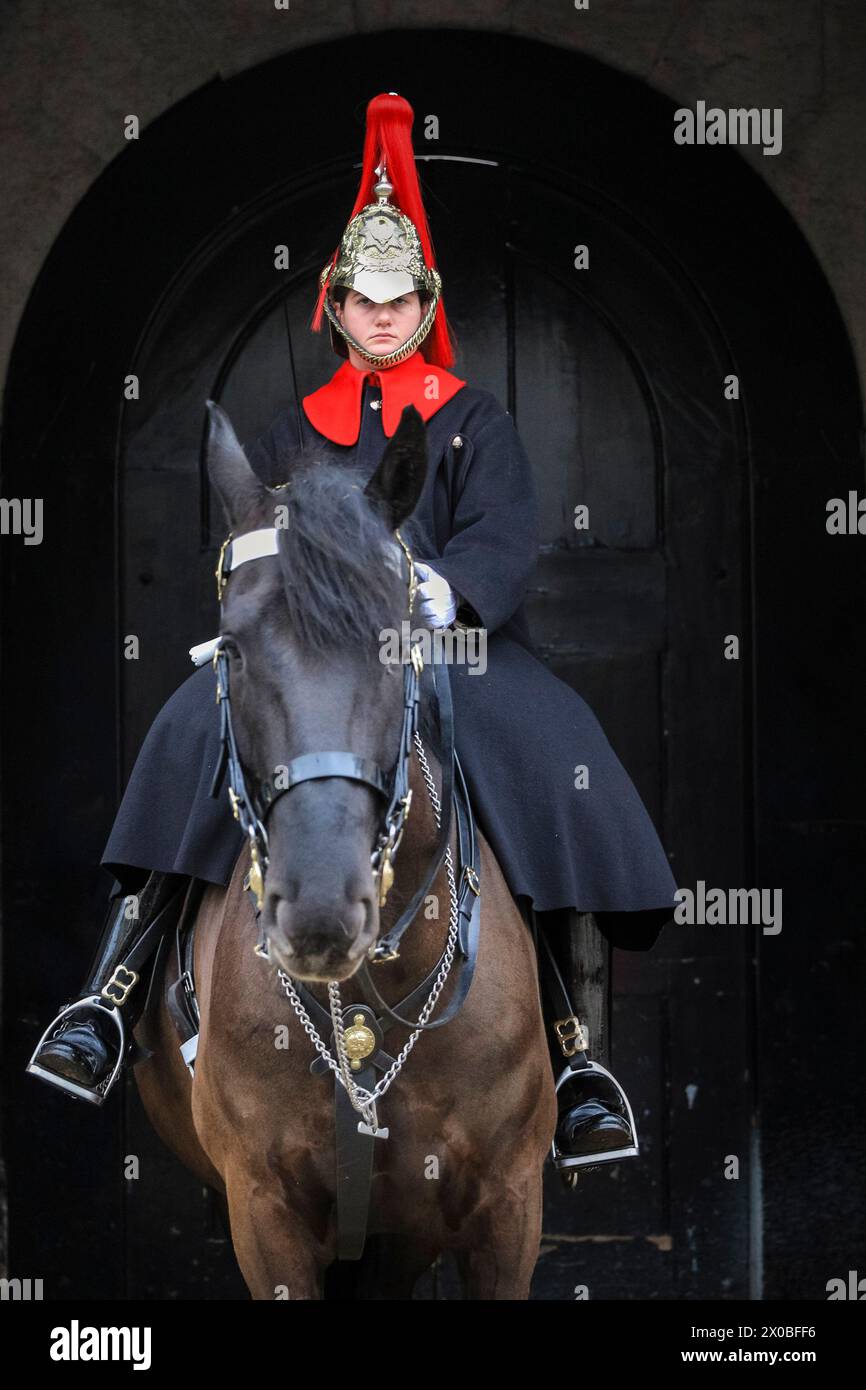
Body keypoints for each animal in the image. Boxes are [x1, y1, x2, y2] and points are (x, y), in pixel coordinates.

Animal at [132, 405, 558, 1301]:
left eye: (397, 642)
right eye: (230, 648)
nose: (321, 910)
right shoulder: (265, 1214)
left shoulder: (508, 1208)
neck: (370, 997)